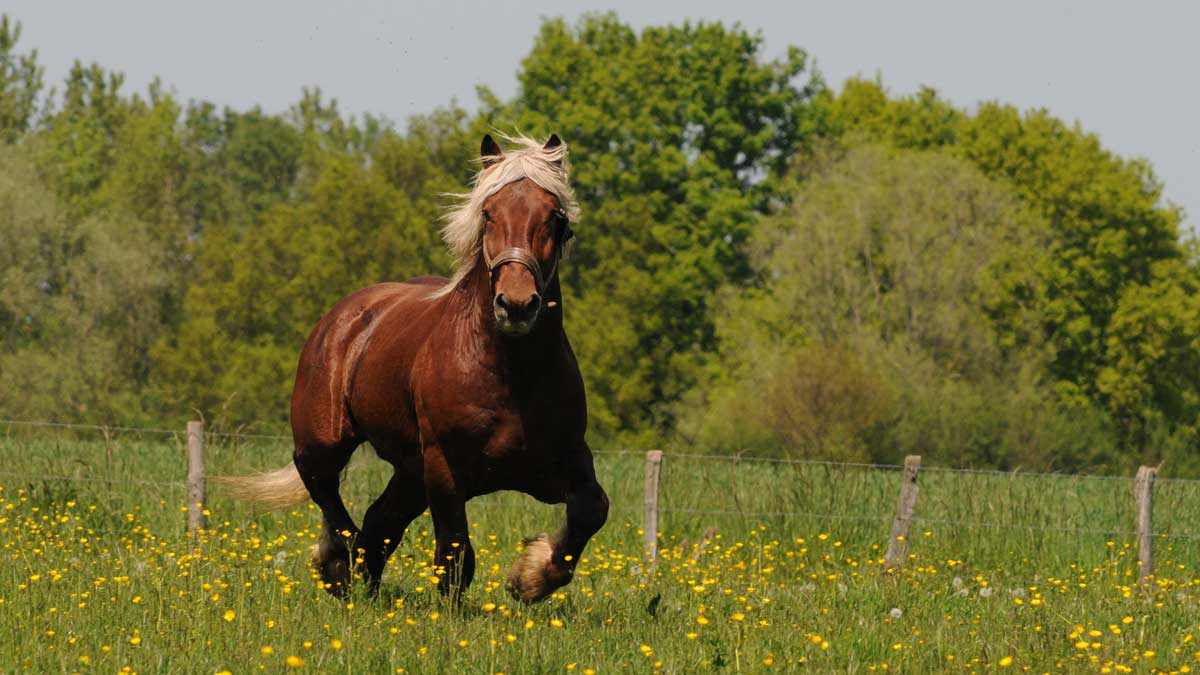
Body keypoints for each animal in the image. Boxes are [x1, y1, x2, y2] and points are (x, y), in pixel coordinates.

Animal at [229, 133, 609, 600]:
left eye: (554, 216)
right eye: (488, 213)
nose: (516, 305)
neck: (511, 375)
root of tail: (344, 316)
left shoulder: (566, 459)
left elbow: (592, 509)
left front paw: (531, 577)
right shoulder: (443, 468)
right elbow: (455, 553)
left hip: (409, 473)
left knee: (377, 524)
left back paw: (365, 586)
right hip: (326, 444)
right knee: (327, 493)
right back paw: (338, 568)